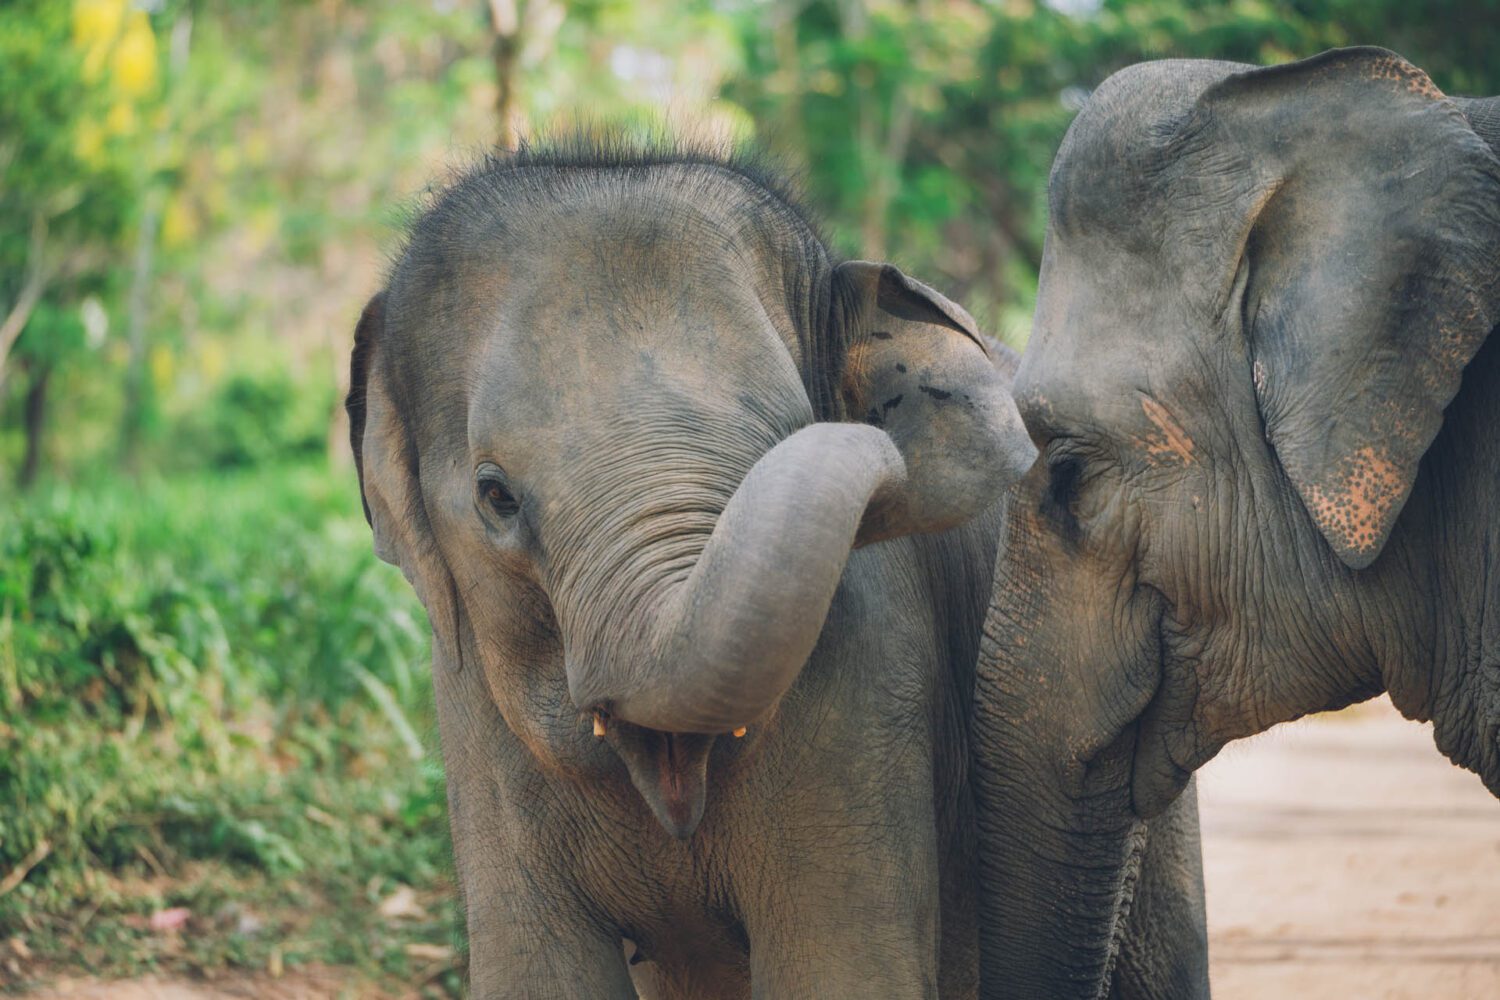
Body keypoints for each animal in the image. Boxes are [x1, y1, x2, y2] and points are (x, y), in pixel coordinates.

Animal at [345, 144, 1200, 995]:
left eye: (786, 437)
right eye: (496, 496)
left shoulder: (866, 691)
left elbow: (843, 969)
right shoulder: (475, 723)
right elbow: (536, 974)